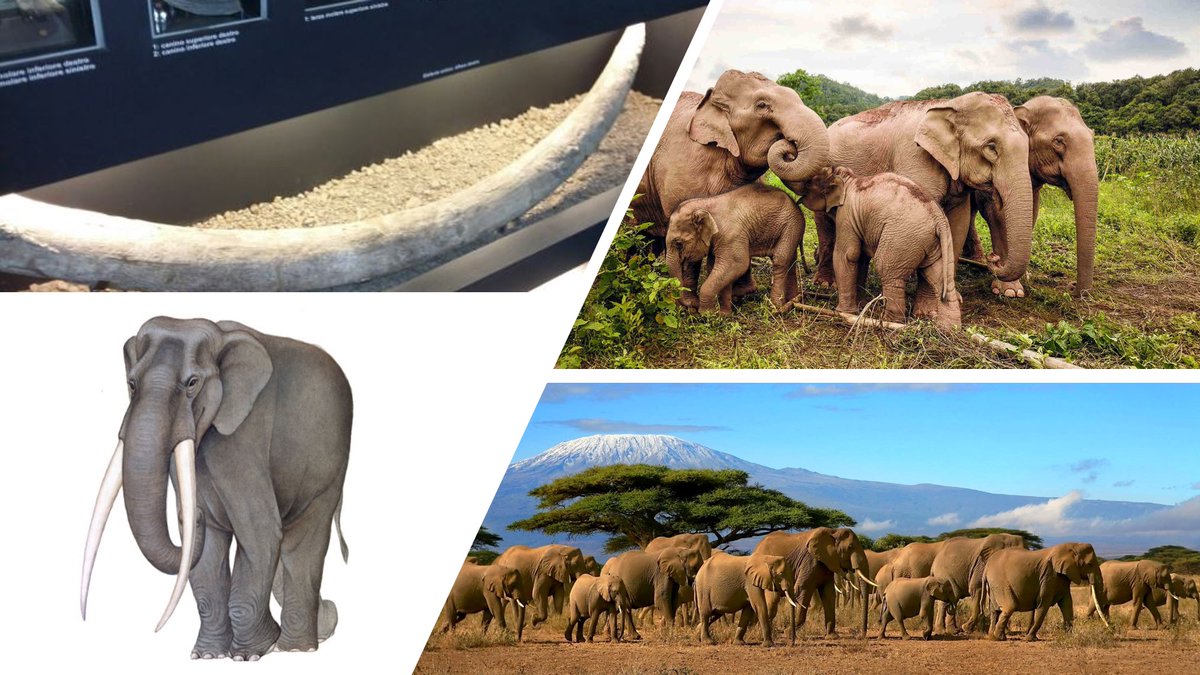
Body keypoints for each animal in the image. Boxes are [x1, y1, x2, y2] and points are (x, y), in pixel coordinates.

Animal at [80, 317, 352, 661]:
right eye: (131, 384)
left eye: (192, 383)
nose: (191, 514)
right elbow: (207, 549)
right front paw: (208, 656)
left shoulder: (244, 435)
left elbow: (261, 532)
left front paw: (250, 654)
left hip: (329, 464)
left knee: (303, 539)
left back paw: (295, 649)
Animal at [665, 182, 804, 315]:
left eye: (678, 243)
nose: (690, 307)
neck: (705, 203)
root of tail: (797, 207)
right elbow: (716, 267)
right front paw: (723, 314)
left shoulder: (731, 235)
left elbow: (736, 264)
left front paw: (707, 314)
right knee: (790, 261)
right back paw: (793, 300)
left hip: (790, 226)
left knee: (780, 261)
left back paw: (776, 306)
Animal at [796, 166, 961, 327]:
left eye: (809, 183)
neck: (849, 178)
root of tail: (938, 220)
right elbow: (861, 258)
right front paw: (860, 305)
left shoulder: (846, 215)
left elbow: (847, 255)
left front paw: (842, 312)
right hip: (936, 243)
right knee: (939, 278)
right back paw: (948, 329)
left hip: (901, 239)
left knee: (887, 270)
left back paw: (888, 321)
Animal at [812, 92, 1034, 299]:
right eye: (991, 147)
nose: (993, 258)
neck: (951, 104)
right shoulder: (915, 159)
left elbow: (957, 225)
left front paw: (952, 297)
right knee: (825, 225)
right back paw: (825, 284)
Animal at [967, 96, 1098, 297]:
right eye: (1058, 141)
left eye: (1093, 137)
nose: (1071, 287)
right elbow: (994, 215)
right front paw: (1010, 290)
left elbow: (1032, 213)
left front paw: (1025, 277)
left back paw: (976, 259)